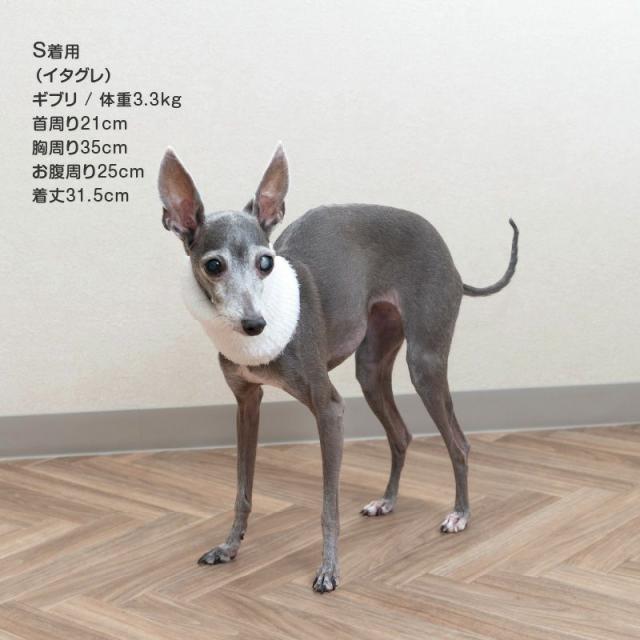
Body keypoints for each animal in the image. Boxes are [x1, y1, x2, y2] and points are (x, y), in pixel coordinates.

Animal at [158, 143, 518, 592]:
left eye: (265, 262)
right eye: (213, 265)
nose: (255, 325)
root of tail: (449, 258)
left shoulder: (329, 408)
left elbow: (329, 507)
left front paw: (329, 569)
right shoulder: (247, 403)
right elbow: (243, 489)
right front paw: (229, 546)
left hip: (425, 363)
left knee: (458, 442)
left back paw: (460, 514)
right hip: (372, 368)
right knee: (401, 434)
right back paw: (387, 501)